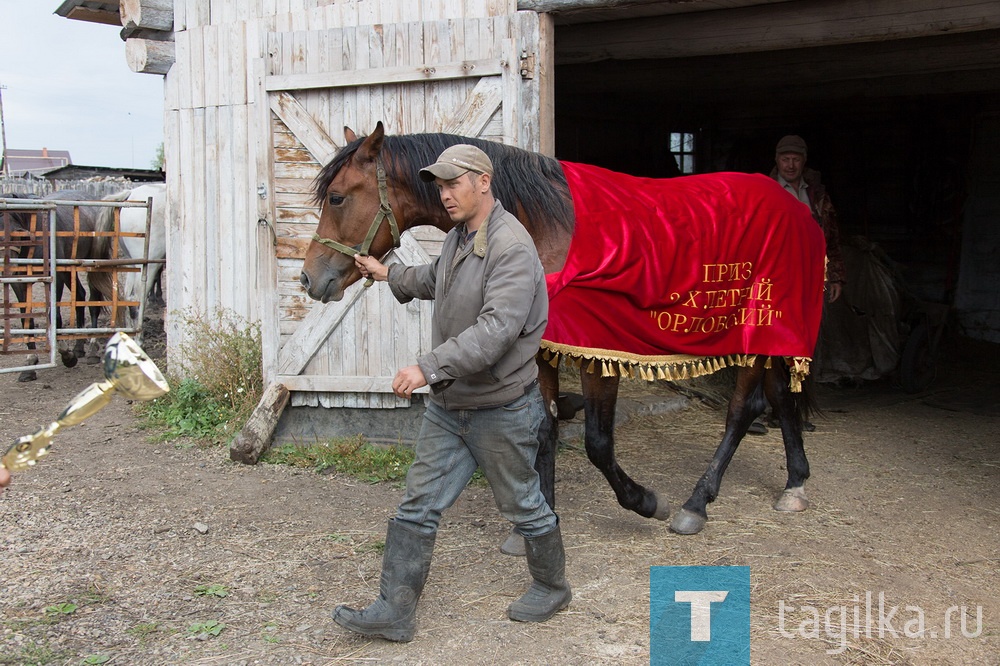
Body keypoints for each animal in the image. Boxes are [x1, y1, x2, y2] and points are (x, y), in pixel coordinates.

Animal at [0, 189, 114, 382]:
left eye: (17, 233)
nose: (3, 269)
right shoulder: (19, 284)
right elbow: (26, 320)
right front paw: (30, 364)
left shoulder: (55, 280)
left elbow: (55, 316)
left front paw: (66, 355)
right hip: (70, 269)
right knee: (79, 296)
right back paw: (79, 347)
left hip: (92, 265)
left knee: (93, 303)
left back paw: (91, 350)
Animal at [298, 123, 828, 536]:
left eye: (338, 197)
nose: (308, 279)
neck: (545, 227)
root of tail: (797, 211)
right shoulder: (541, 349)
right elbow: (544, 429)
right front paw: (540, 520)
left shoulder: (599, 352)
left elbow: (597, 442)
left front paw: (643, 501)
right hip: (771, 335)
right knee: (780, 398)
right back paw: (795, 481)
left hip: (755, 330)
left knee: (742, 411)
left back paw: (696, 504)